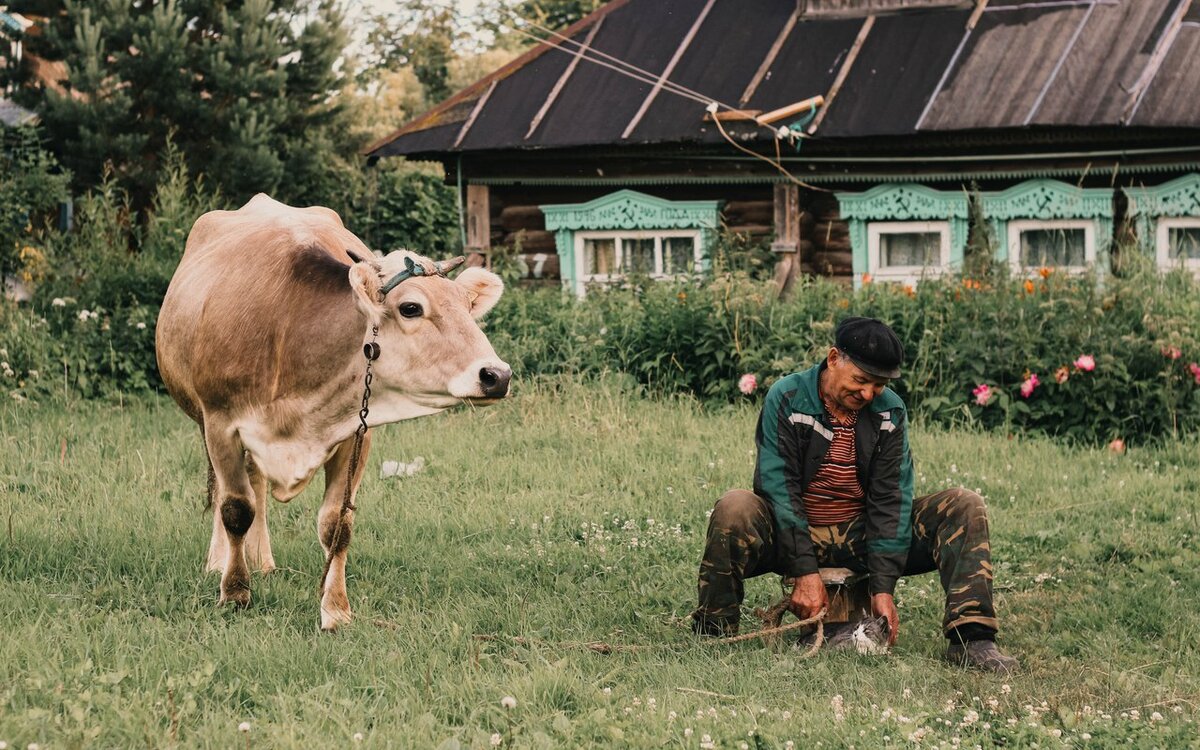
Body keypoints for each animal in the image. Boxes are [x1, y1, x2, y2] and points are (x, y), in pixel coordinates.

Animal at [156, 193, 511, 624]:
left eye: (466, 305)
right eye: (411, 307)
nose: (497, 375)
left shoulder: (356, 431)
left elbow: (336, 525)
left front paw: (336, 609)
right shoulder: (220, 422)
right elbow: (235, 509)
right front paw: (235, 592)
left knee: (257, 482)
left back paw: (261, 560)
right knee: (229, 491)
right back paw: (219, 561)